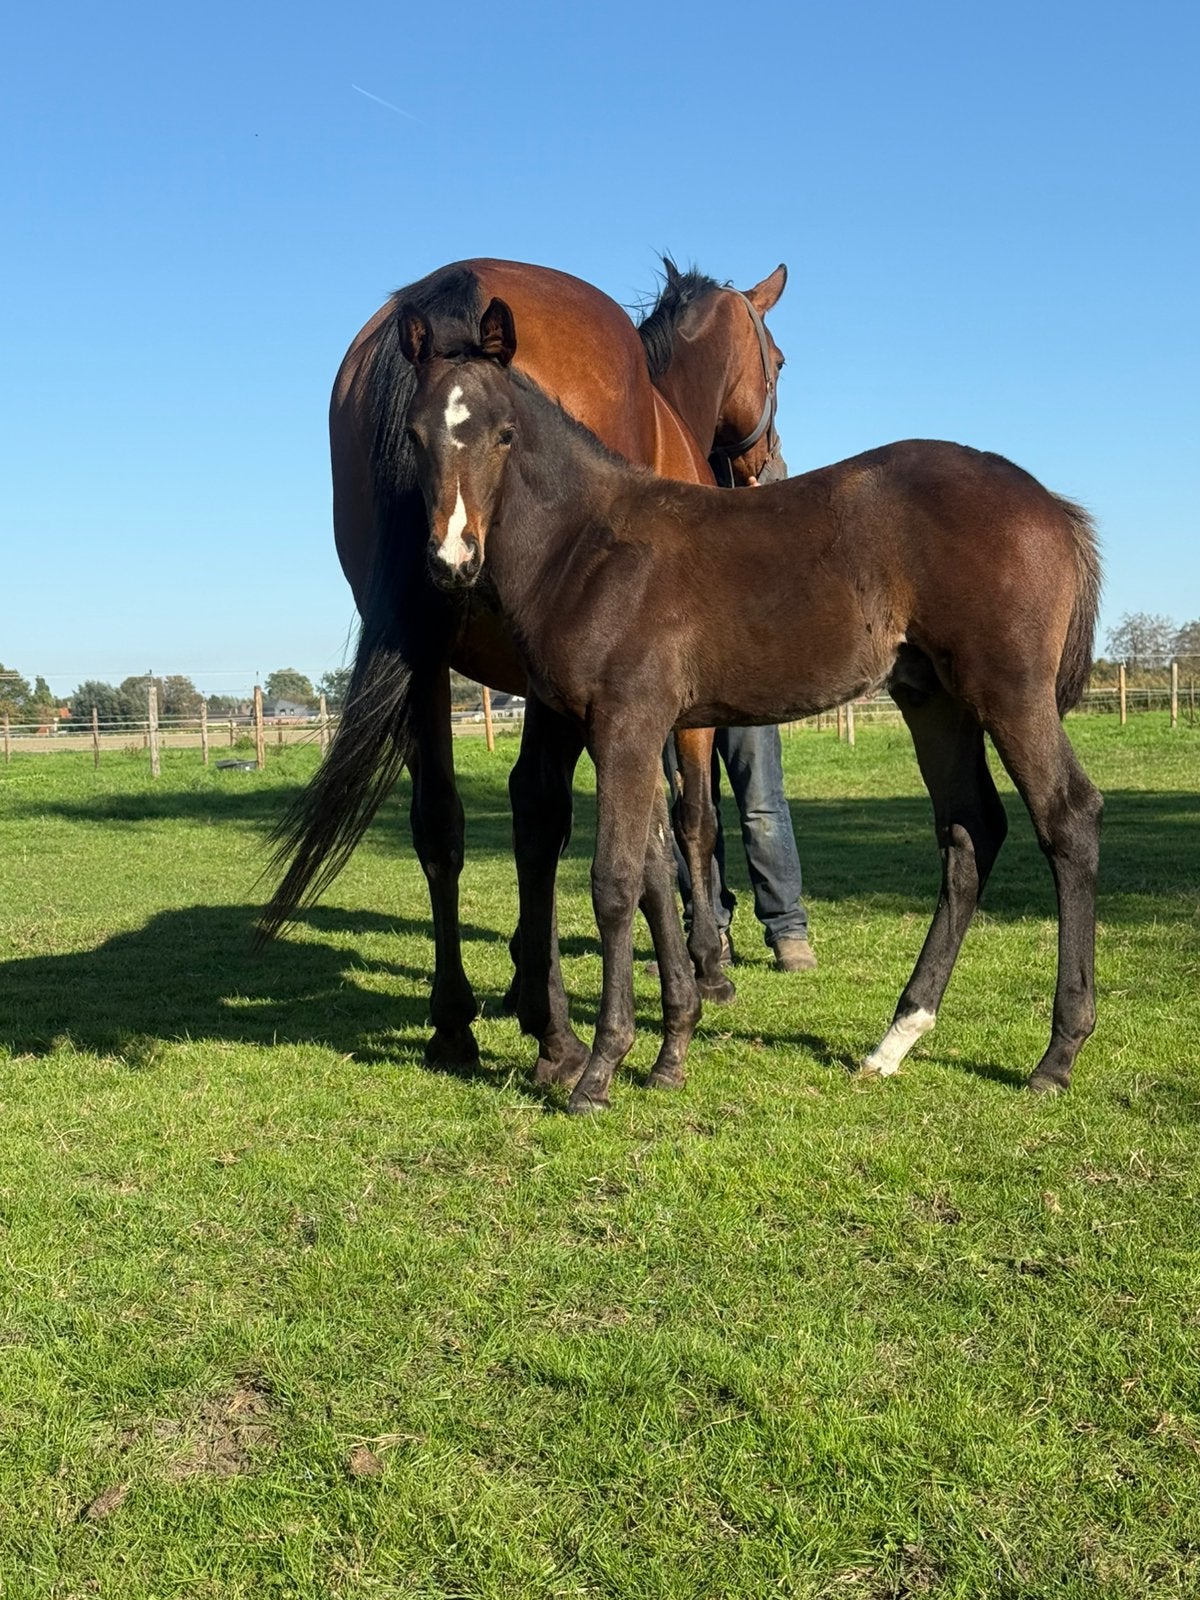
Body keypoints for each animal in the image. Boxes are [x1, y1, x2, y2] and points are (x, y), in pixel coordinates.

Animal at [259, 258, 789, 1075]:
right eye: (780, 363)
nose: (771, 462)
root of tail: (459, 282)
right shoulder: (667, 711)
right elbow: (689, 822)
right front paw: (706, 964)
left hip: (423, 660)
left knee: (441, 823)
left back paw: (457, 1022)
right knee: (539, 814)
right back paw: (557, 1034)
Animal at [397, 296, 1104, 1114]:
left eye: (503, 433)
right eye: (415, 435)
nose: (452, 559)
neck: (588, 546)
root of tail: (1050, 504)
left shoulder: (627, 725)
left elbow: (613, 884)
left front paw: (601, 1070)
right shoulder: (634, 732)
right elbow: (654, 873)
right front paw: (672, 1052)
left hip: (1010, 692)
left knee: (1067, 818)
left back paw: (1057, 1055)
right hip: (932, 699)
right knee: (970, 831)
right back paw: (895, 1039)